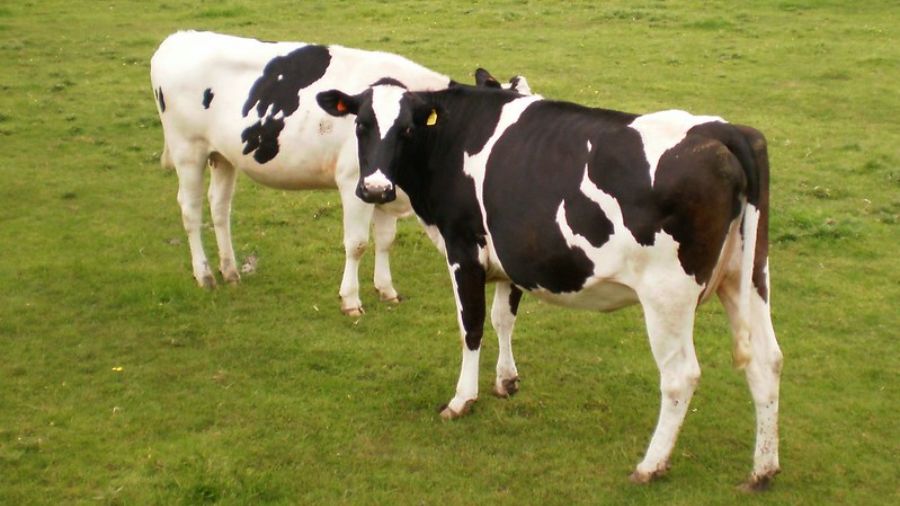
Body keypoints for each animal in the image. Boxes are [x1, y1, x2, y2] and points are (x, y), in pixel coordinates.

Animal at [150, 31, 529, 315]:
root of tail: (178, 38)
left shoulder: (384, 188)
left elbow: (386, 240)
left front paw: (387, 290)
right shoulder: (355, 183)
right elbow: (357, 243)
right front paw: (350, 300)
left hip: (222, 155)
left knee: (219, 208)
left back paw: (229, 270)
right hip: (187, 150)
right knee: (191, 210)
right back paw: (205, 275)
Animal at [315, 82, 783, 489]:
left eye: (407, 129)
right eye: (361, 125)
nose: (375, 188)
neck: (452, 136)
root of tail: (723, 130)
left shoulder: (463, 248)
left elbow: (472, 327)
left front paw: (462, 400)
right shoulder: (512, 256)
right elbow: (503, 319)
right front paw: (506, 381)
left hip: (668, 293)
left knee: (680, 376)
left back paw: (650, 465)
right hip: (747, 277)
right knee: (767, 360)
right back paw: (762, 470)